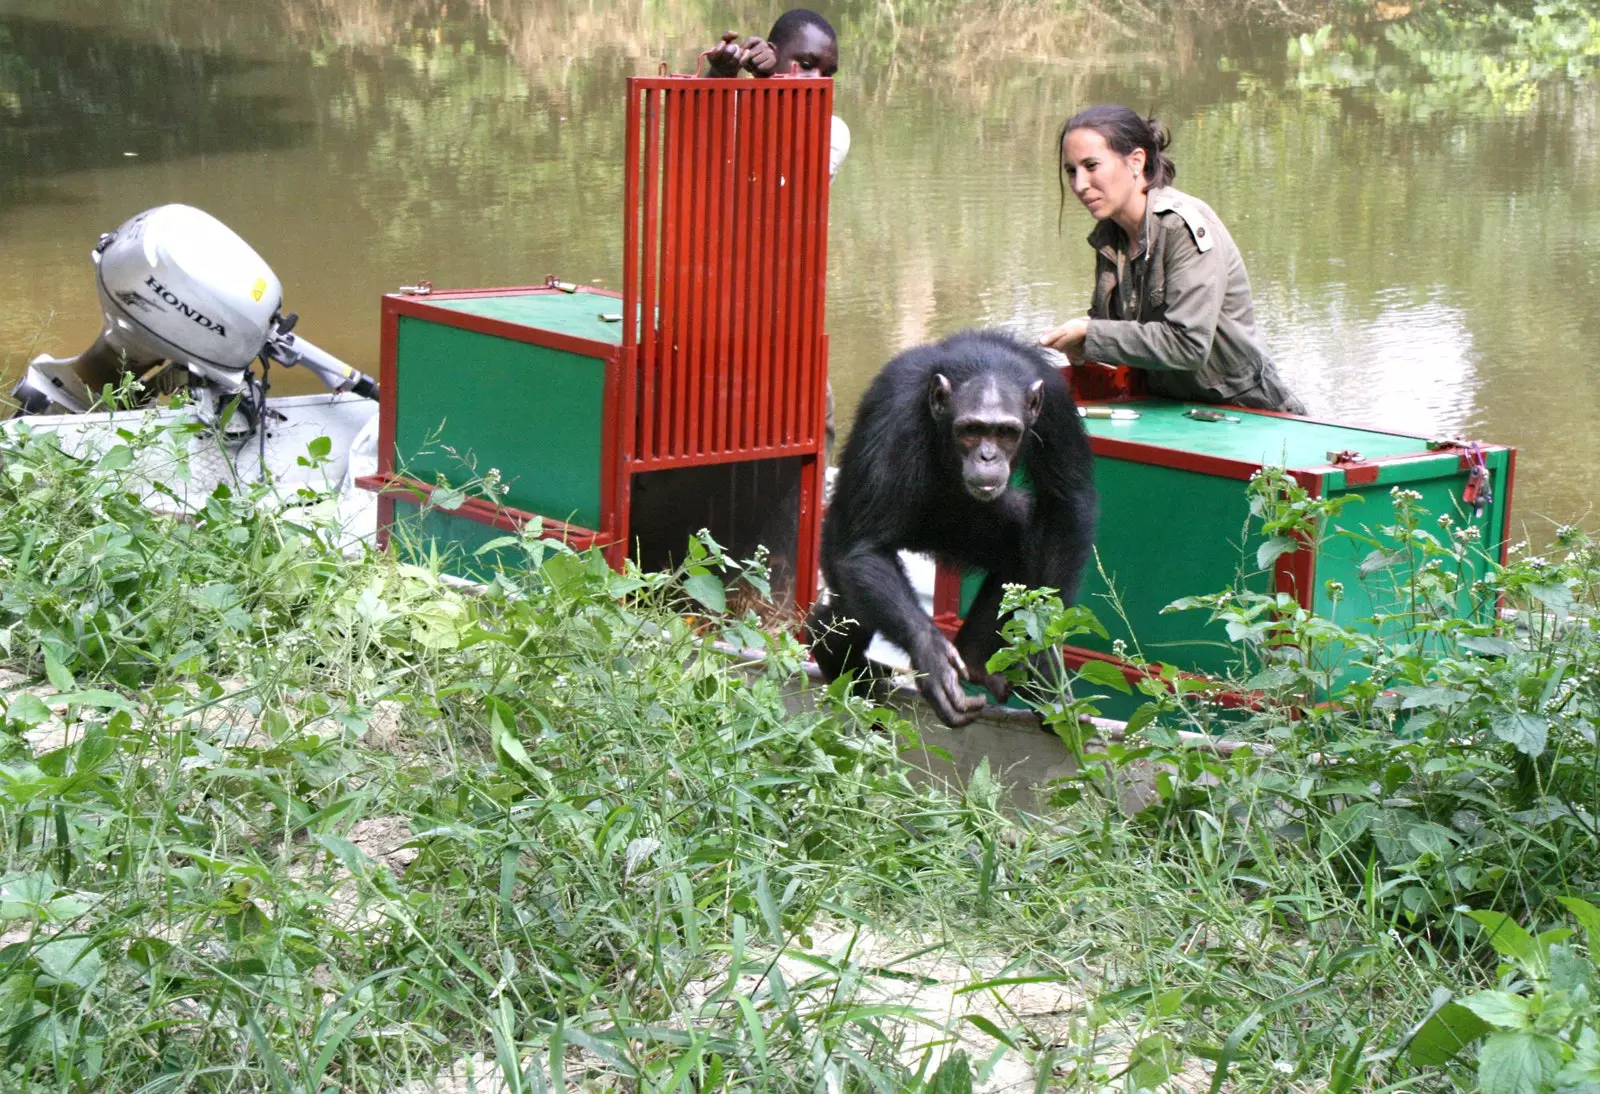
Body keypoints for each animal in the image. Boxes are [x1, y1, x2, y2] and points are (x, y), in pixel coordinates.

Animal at [806, 329, 1094, 729]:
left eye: (1006, 433)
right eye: (971, 431)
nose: (987, 456)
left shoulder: (1057, 407)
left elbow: (1065, 505)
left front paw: (1047, 660)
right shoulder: (893, 408)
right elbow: (866, 546)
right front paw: (931, 656)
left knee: (1020, 547)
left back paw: (973, 658)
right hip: (834, 531)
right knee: (855, 591)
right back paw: (830, 646)